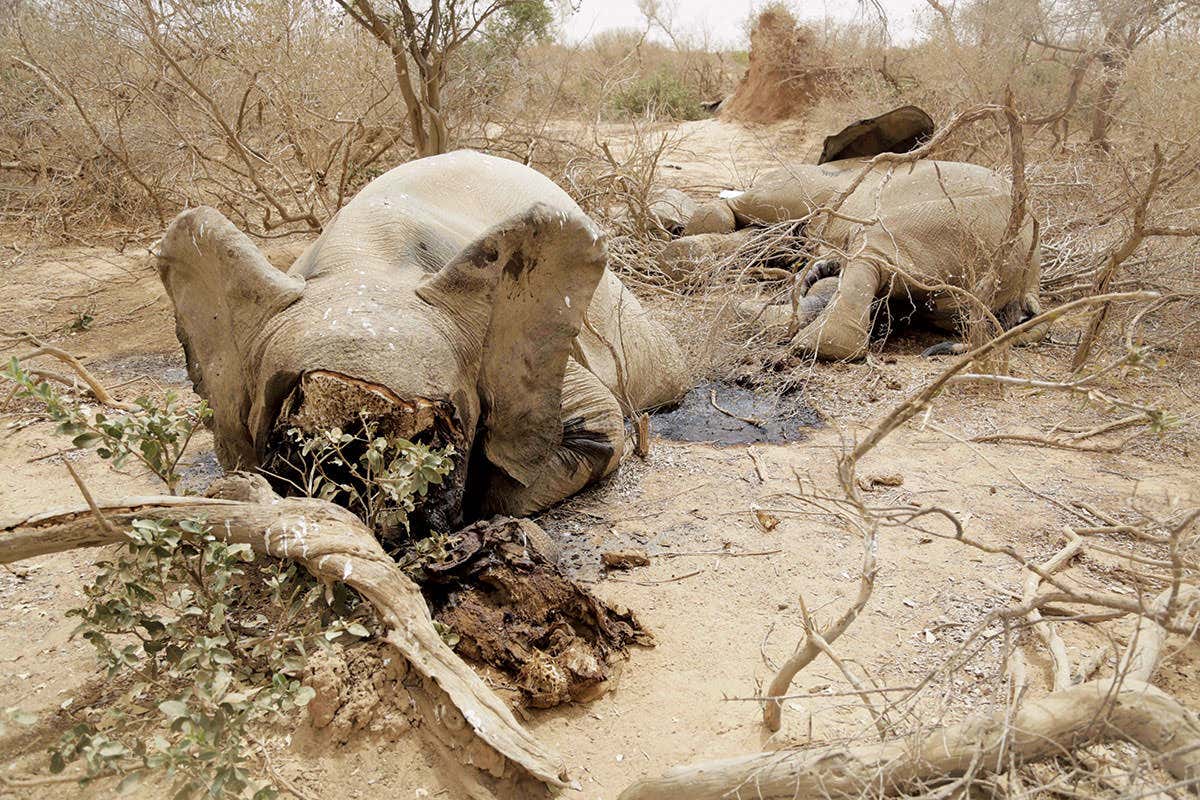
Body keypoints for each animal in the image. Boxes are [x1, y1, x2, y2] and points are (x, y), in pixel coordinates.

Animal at [668, 105, 1046, 360]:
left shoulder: (813, 189)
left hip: (966, 227)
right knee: (889, 303)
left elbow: (753, 212)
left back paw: (786, 331)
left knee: (872, 255)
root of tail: (1030, 281)